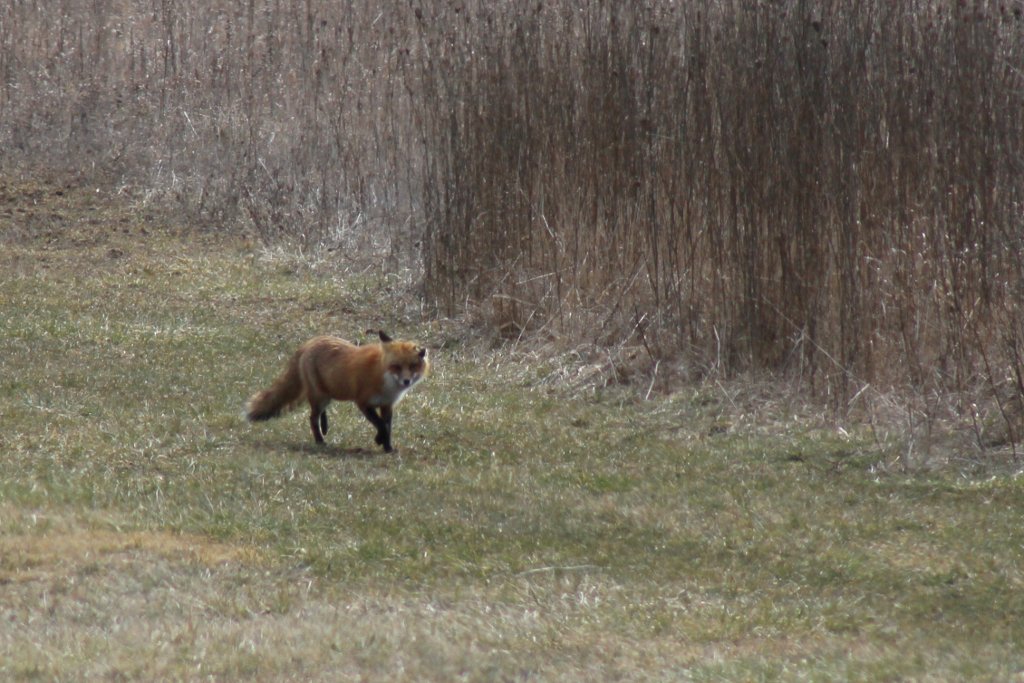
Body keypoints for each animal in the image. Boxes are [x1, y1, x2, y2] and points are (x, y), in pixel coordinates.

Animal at [246, 330, 429, 451]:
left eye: (413, 366)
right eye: (396, 366)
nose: (406, 381)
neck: (382, 377)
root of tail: (310, 342)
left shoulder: (387, 405)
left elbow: (387, 426)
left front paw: (387, 447)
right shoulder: (363, 402)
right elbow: (381, 425)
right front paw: (380, 440)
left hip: (327, 395)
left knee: (319, 414)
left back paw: (325, 428)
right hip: (320, 396)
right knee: (312, 418)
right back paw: (320, 440)